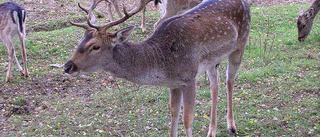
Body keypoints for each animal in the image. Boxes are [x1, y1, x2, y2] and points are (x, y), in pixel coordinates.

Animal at [64, 0, 250, 136]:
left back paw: (231, 126)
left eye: (95, 46)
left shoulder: (189, 77)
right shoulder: (174, 84)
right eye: (80, 40)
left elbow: (187, 120)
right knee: (214, 85)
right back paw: (212, 131)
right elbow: (174, 115)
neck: (164, 65)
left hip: (241, 43)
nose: (67, 66)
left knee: (229, 80)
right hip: (212, 61)